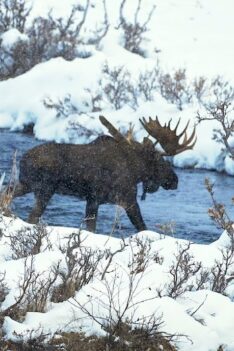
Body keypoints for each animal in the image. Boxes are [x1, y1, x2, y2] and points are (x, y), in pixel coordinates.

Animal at [13, 117, 197, 234]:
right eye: (161, 161)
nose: (175, 180)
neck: (136, 171)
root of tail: (22, 160)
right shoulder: (124, 199)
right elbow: (141, 226)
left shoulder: (94, 200)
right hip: (44, 189)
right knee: (32, 217)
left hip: (25, 184)